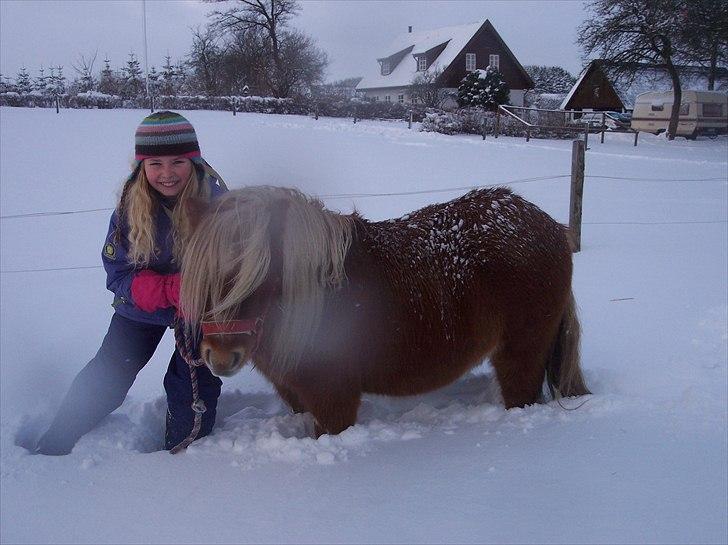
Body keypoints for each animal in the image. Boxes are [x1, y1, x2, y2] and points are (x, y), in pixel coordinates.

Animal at [182, 185, 592, 436]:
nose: (220, 357)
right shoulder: (298, 397)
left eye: (262, 275)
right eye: (201, 276)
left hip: (520, 357)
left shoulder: (335, 400)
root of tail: (551, 227)